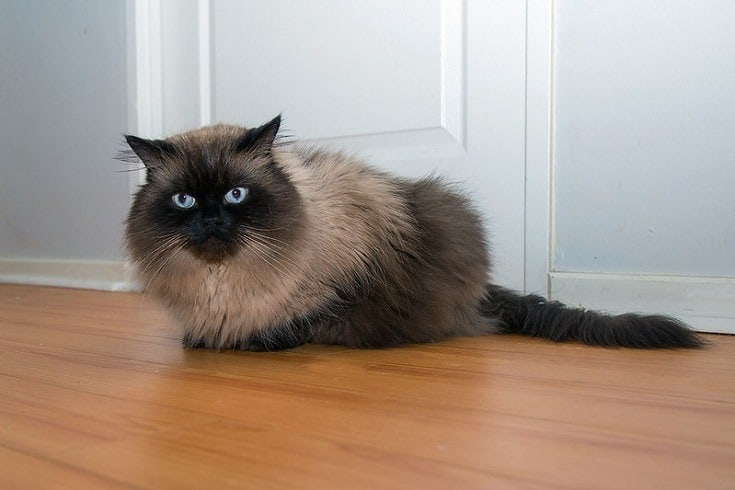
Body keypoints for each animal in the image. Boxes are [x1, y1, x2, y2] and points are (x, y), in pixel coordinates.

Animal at [123, 114, 704, 352]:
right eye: (184, 200)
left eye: (237, 195)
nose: (211, 221)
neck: (220, 283)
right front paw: (201, 338)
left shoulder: (335, 292)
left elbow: (286, 326)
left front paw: (237, 341)